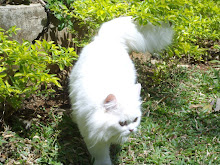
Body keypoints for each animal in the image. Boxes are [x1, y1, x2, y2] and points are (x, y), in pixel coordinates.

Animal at [68, 16, 172, 165]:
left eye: (135, 119)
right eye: (121, 123)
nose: (131, 129)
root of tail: (107, 38)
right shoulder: (94, 137)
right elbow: (102, 156)